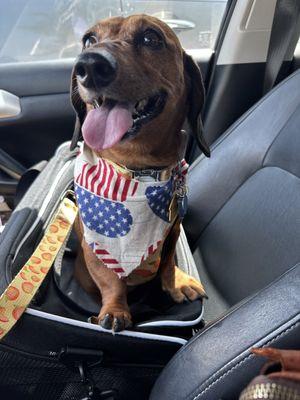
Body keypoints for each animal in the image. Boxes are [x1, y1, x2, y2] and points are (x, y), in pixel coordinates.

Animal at [71, 14, 210, 332]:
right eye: (88, 39)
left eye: (151, 38)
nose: (90, 65)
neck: (140, 171)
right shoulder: (95, 246)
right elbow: (111, 280)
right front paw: (115, 309)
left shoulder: (173, 229)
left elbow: (168, 262)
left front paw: (175, 283)